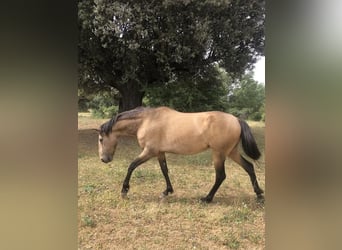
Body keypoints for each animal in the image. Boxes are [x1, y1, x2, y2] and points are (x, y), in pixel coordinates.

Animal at [97, 106, 264, 203]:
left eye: (101, 139)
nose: (104, 159)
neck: (146, 120)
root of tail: (236, 119)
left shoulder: (149, 151)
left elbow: (131, 166)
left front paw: (124, 191)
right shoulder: (159, 153)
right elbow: (164, 170)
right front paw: (167, 191)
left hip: (219, 153)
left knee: (221, 175)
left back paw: (207, 198)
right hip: (231, 152)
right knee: (249, 167)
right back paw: (259, 194)